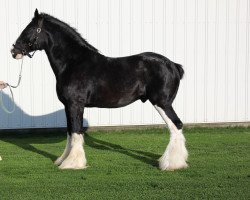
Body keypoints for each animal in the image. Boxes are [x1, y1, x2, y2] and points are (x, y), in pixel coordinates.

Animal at [11, 8, 188, 170]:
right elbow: (70, 132)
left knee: (176, 125)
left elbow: (76, 132)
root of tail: (173, 65)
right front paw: (63, 160)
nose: (14, 51)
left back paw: (172, 164)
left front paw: (73, 163)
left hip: (162, 103)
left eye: (29, 30)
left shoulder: (75, 104)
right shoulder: (68, 106)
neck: (73, 63)